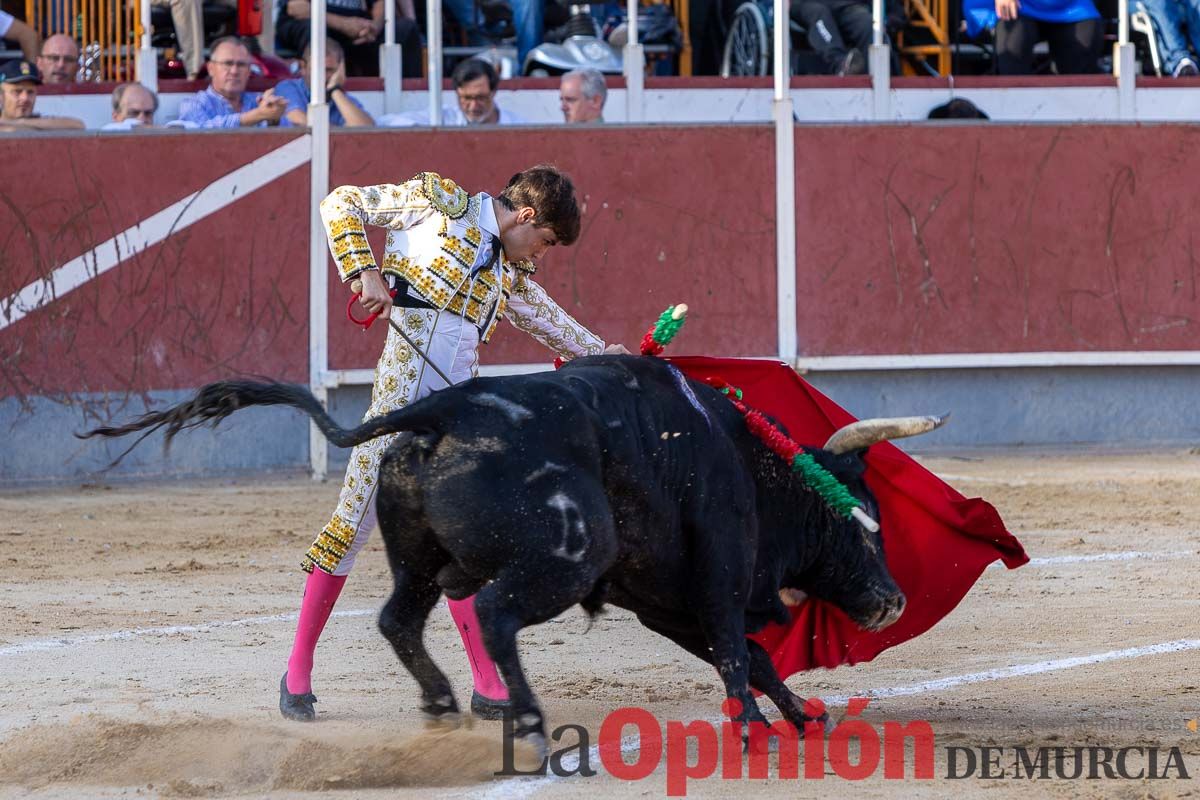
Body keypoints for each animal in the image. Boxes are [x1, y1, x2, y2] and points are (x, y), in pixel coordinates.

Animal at [82, 355, 945, 753]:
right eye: (863, 520)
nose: (893, 599)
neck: (749, 466)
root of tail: (440, 411)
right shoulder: (717, 580)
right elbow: (740, 653)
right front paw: (756, 731)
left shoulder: (666, 603)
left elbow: (752, 658)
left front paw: (800, 716)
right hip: (565, 558)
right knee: (494, 613)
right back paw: (524, 716)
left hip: (419, 558)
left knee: (401, 618)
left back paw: (440, 703)